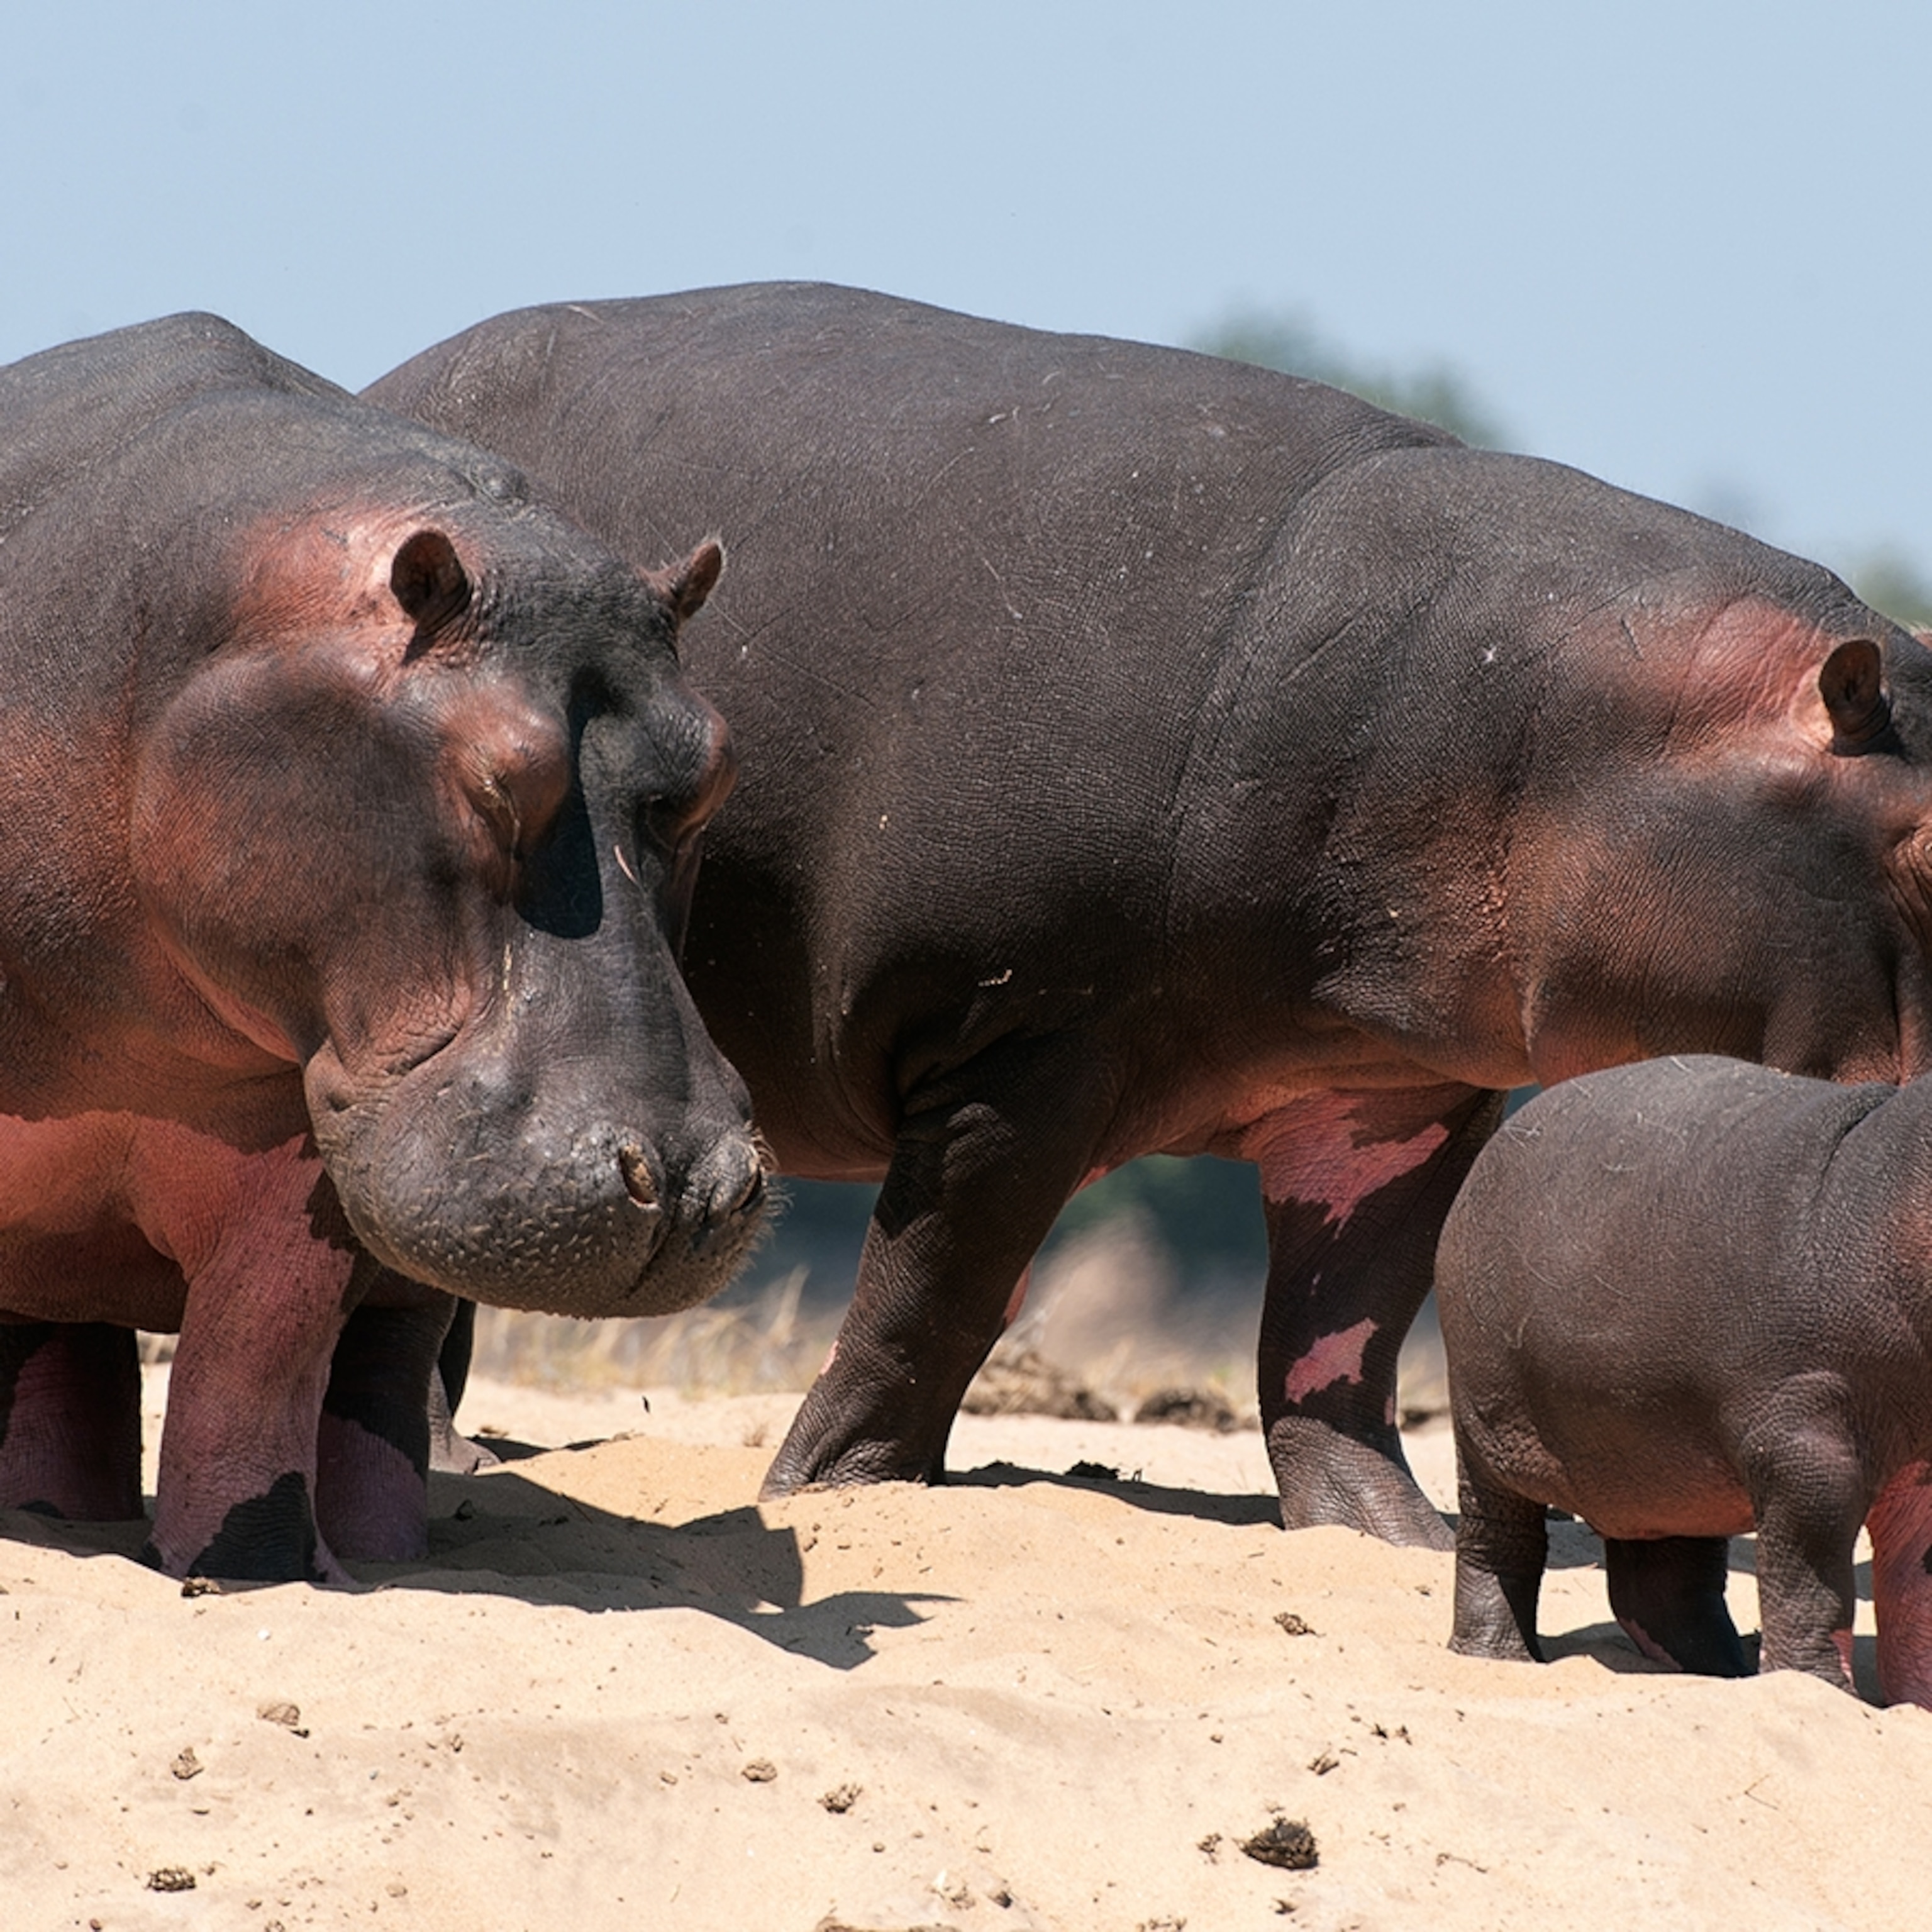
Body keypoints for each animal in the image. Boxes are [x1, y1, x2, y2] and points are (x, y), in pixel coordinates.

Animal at [0, 314, 767, 1581]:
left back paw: (375, 1549)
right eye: (492, 779)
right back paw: (54, 1514)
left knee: (373, 1373)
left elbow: (259, 1353)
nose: (694, 1184)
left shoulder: (306, 1140)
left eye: (713, 767)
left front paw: (245, 1569)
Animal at [367, 282, 1932, 1549]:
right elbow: (933, 1293)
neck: (1553, 725)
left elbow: (1341, 1336)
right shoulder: (1020, 1049)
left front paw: (1388, 1542)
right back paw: (453, 1464)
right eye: (1921, 846)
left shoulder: (1393, 1097)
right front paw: (831, 1493)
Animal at [1437, 1056, 1932, 1705]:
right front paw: (1817, 1689)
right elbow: (1810, 1583)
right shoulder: (1806, 1450)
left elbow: (1916, 1594)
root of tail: (1495, 1149)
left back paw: (1716, 1673)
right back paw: (1498, 1658)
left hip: (1664, 1459)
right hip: (1488, 1429)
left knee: (1669, 1582)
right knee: (1497, 1543)